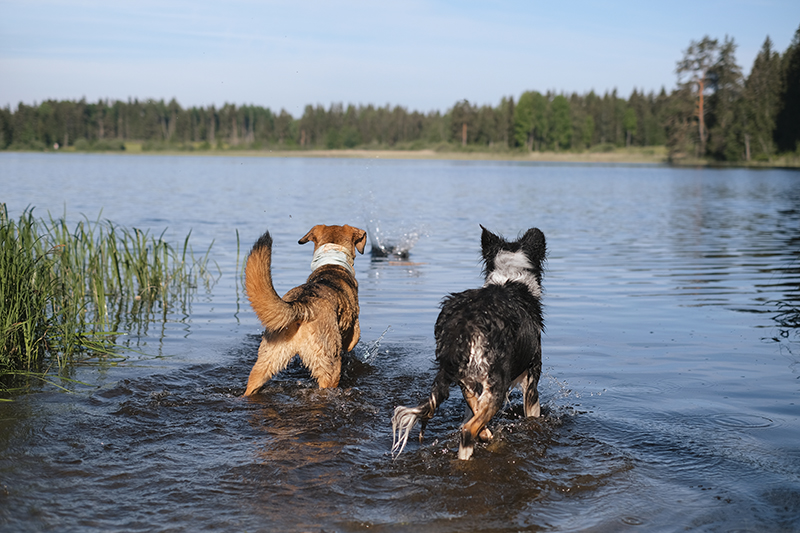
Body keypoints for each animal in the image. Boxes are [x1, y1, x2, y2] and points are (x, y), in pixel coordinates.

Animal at [244, 222, 368, 392]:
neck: (332, 264)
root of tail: (302, 306)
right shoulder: (354, 330)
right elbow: (351, 344)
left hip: (266, 360)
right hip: (330, 366)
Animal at [392, 224, 548, 458]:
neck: (510, 278)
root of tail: (466, 320)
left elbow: (472, 410)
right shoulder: (532, 376)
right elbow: (532, 414)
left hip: (465, 376)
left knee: (470, 423)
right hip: (498, 382)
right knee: (467, 430)